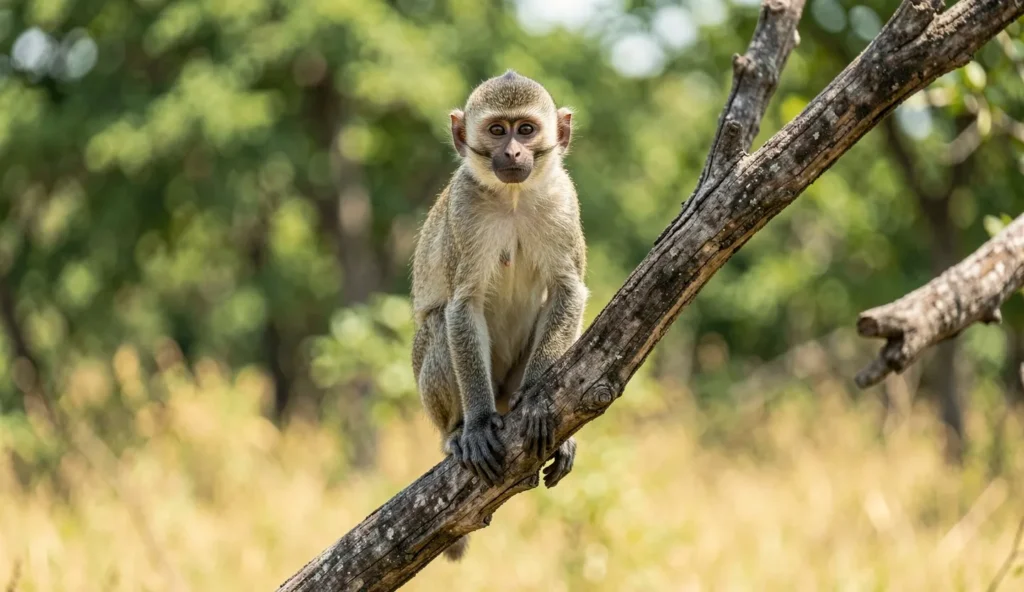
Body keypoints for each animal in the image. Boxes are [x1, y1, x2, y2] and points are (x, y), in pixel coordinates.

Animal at [410, 70, 588, 561]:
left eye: (525, 129)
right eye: (496, 130)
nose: (511, 152)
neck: (512, 197)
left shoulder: (564, 201)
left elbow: (568, 289)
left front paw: (538, 395)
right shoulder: (464, 210)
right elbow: (462, 306)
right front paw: (474, 425)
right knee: (438, 324)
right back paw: (455, 431)